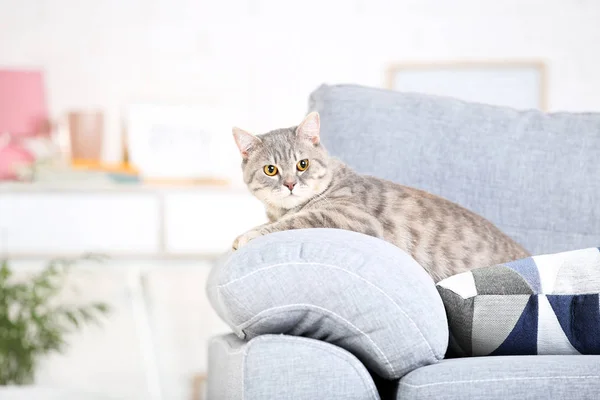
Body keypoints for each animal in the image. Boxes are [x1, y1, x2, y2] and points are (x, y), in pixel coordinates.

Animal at [231, 111, 528, 282]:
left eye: (302, 164)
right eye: (271, 169)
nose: (291, 184)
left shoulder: (349, 217)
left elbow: (294, 221)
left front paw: (247, 236)